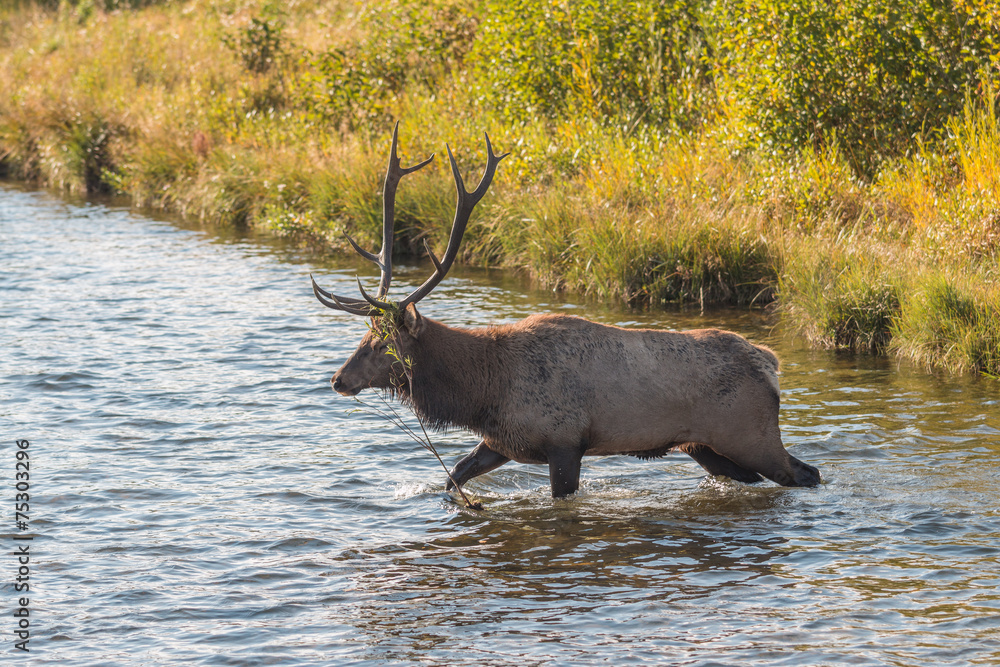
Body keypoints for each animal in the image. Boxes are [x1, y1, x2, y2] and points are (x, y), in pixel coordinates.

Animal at [312, 125, 820, 498]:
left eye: (384, 343)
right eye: (364, 336)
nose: (338, 380)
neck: (485, 389)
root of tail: (770, 362)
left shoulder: (565, 442)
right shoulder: (502, 442)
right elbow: (452, 476)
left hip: (750, 435)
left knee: (806, 473)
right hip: (706, 447)